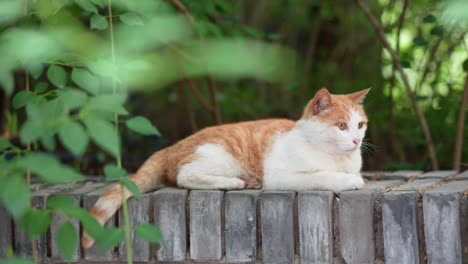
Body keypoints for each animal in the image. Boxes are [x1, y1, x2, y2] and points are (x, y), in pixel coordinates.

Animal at [83, 88, 370, 248]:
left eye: (360, 125)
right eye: (341, 126)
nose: (357, 141)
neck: (336, 157)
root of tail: (171, 147)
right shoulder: (283, 176)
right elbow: (324, 176)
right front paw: (349, 181)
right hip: (221, 155)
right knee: (185, 176)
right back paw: (237, 182)